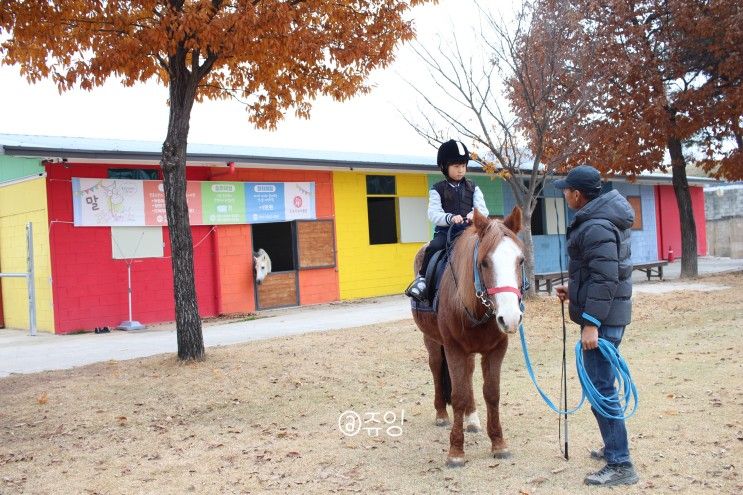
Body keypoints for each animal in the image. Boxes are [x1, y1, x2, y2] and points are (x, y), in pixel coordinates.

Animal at [410, 206, 528, 468]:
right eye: (484, 263)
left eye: (520, 260)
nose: (510, 318)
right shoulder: (453, 349)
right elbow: (458, 395)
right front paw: (456, 451)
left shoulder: (496, 349)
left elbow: (492, 393)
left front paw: (498, 443)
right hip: (432, 340)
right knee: (436, 367)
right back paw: (441, 414)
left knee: (469, 373)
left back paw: (472, 419)